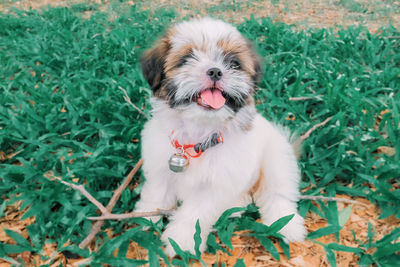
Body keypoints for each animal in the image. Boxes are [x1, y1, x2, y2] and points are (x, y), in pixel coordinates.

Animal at [135, 17, 306, 256]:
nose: (215, 71)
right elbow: (156, 193)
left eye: (233, 64)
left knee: (278, 192)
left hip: (277, 157)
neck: (199, 134)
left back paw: (286, 224)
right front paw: (147, 216)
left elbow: (195, 211)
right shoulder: (161, 165)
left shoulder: (215, 185)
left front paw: (181, 240)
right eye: (186, 59)